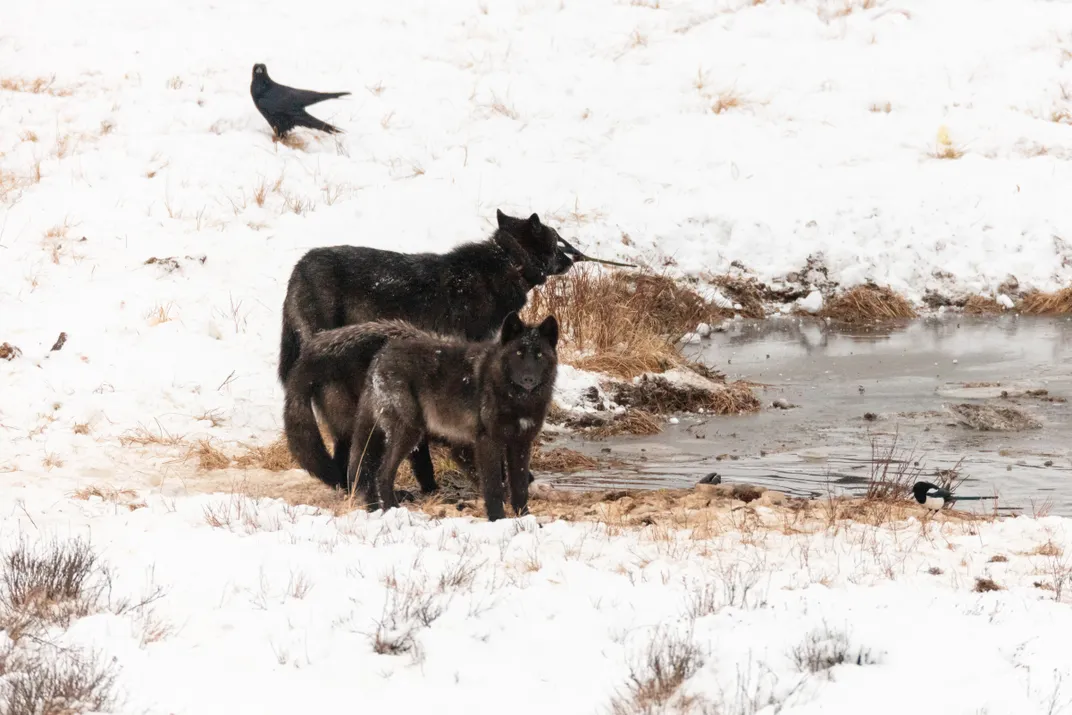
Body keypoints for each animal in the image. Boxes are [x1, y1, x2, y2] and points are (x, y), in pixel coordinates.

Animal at [351, 312, 558, 521]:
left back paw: (375, 510)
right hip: (408, 433)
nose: (528, 379)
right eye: (518, 353)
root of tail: (379, 357)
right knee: (382, 474)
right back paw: (393, 511)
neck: (517, 399)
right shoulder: (488, 442)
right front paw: (498, 519)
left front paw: (525, 518)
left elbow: (520, 487)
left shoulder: (521, 443)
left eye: (539, 354)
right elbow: (493, 486)